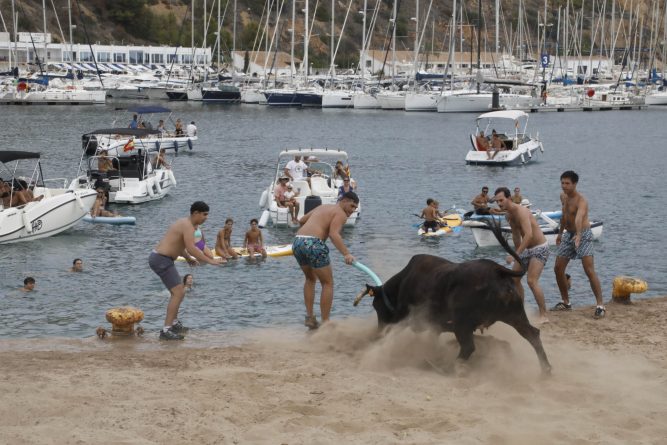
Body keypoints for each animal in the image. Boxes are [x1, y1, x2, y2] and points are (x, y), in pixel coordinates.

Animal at [354, 222, 552, 374]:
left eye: (376, 306)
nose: (378, 332)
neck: (403, 282)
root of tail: (497, 270)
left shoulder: (413, 319)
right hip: (514, 315)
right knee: (532, 335)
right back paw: (545, 371)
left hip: (463, 323)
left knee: (468, 347)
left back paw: (449, 367)